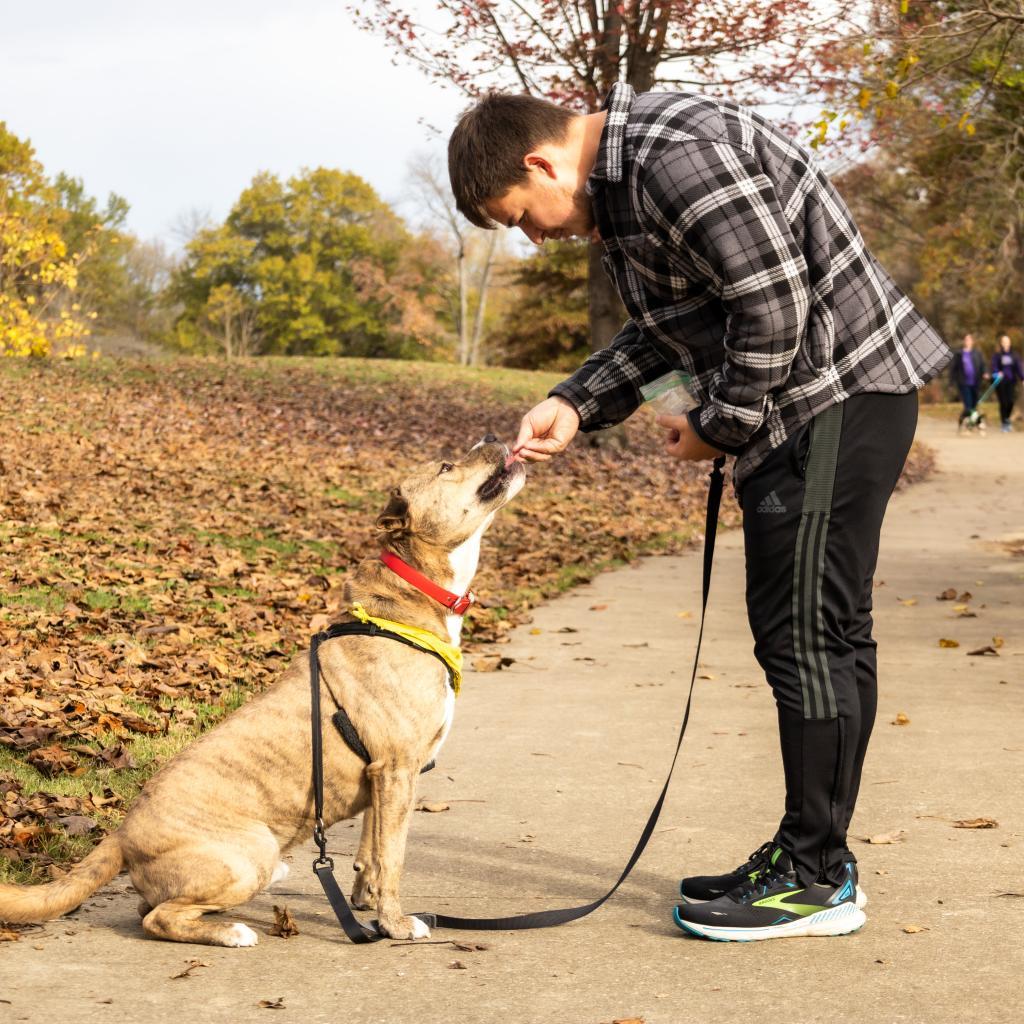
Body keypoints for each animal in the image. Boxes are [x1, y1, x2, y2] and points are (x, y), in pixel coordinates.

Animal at [0, 432, 524, 942]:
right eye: (445, 467)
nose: (494, 435)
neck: (410, 592)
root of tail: (121, 834)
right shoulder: (396, 769)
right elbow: (392, 858)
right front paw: (395, 925)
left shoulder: (385, 778)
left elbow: (372, 854)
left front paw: (369, 905)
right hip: (251, 852)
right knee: (158, 918)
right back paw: (232, 932)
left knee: (148, 908)